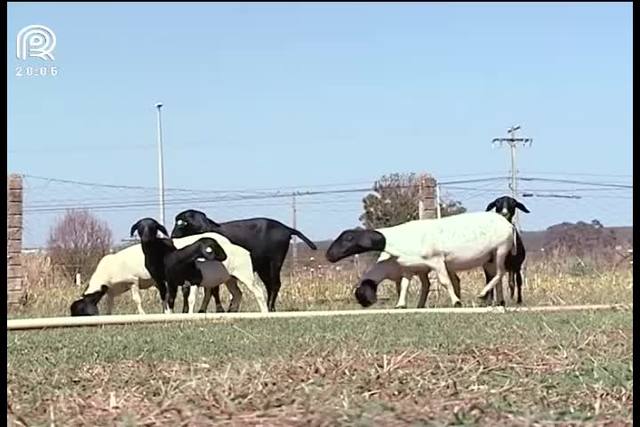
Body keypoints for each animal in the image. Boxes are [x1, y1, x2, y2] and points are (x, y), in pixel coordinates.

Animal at [130, 217, 270, 314]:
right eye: (139, 227)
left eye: (154, 227)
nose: (146, 238)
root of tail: (245, 251)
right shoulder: (162, 280)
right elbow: (166, 299)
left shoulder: (186, 281)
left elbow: (184, 299)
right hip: (230, 278)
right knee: (237, 294)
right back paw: (232, 312)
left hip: (246, 275)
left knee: (258, 291)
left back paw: (264, 312)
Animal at [172, 210, 318, 310]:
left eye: (184, 223)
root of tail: (286, 228)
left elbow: (213, 290)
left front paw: (218, 310)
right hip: (263, 267)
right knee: (269, 285)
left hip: (273, 262)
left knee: (275, 284)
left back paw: (270, 307)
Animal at [324, 211, 516, 308]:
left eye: (349, 238)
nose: (329, 255)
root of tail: (508, 224)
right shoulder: (410, 268)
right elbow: (407, 286)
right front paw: (403, 305)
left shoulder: (437, 262)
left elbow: (444, 282)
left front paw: (456, 302)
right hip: (490, 257)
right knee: (497, 277)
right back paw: (499, 301)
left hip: (501, 249)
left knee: (500, 273)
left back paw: (483, 294)